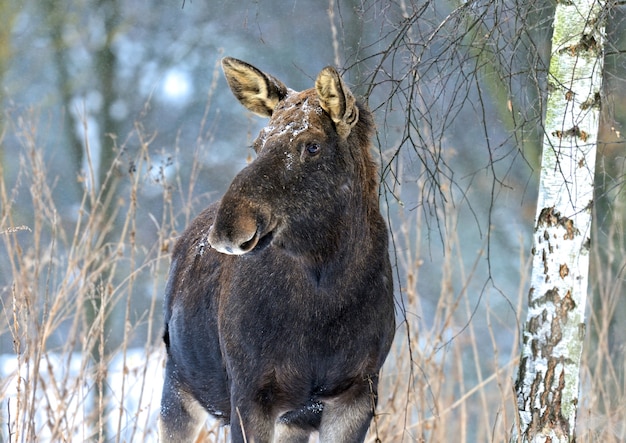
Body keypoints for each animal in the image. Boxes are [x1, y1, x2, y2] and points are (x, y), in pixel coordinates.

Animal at [161, 57, 394, 442]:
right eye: (258, 143)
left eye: (312, 145)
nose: (229, 226)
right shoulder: (250, 392)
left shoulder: (359, 389)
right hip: (177, 385)